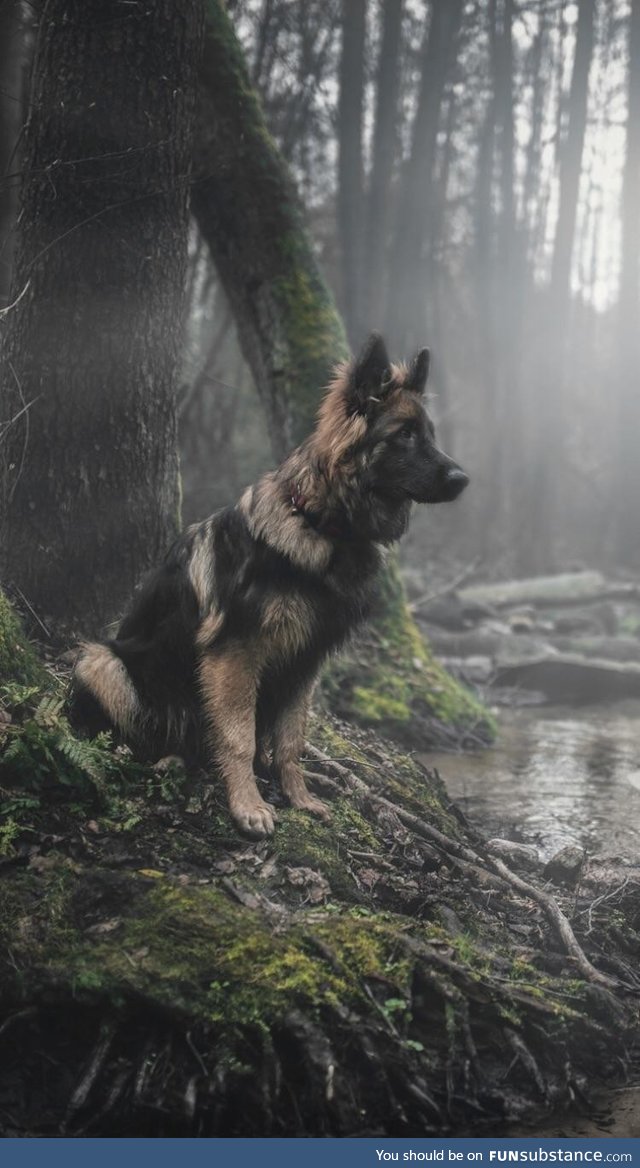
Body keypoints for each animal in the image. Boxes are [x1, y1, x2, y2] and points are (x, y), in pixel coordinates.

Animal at [72, 334, 467, 836]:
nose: (463, 480)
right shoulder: (235, 652)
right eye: (404, 434)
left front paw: (299, 797)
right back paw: (160, 759)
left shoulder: (306, 659)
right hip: (102, 662)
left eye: (428, 434)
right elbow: (238, 737)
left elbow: (291, 740)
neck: (320, 524)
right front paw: (248, 805)